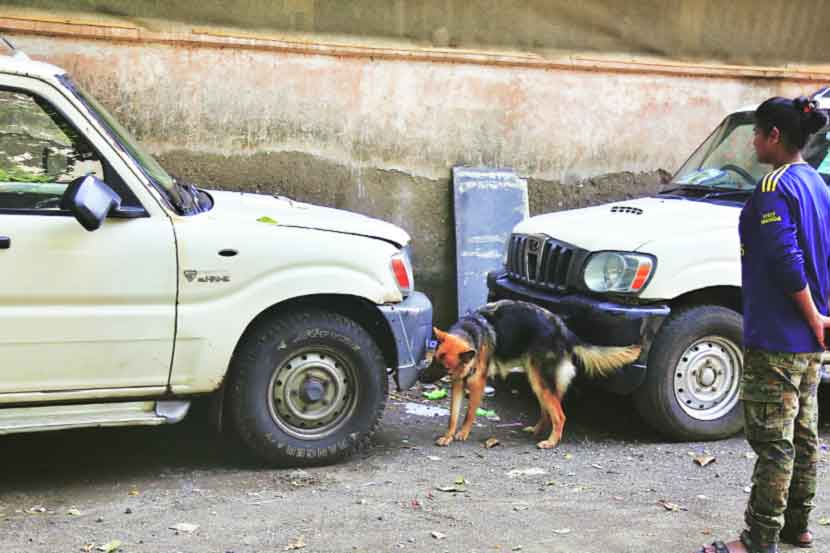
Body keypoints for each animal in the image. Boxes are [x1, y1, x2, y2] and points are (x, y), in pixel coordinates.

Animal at [428, 298, 644, 448]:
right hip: (536, 379)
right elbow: (453, 415)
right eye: (434, 360)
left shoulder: (476, 384)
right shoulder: (458, 382)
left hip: (541, 380)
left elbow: (468, 414)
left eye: (443, 366)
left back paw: (552, 441)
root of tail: (564, 331)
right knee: (547, 411)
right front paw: (448, 435)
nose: (422, 376)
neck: (471, 331)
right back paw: (538, 430)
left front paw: (463, 433)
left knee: (559, 415)